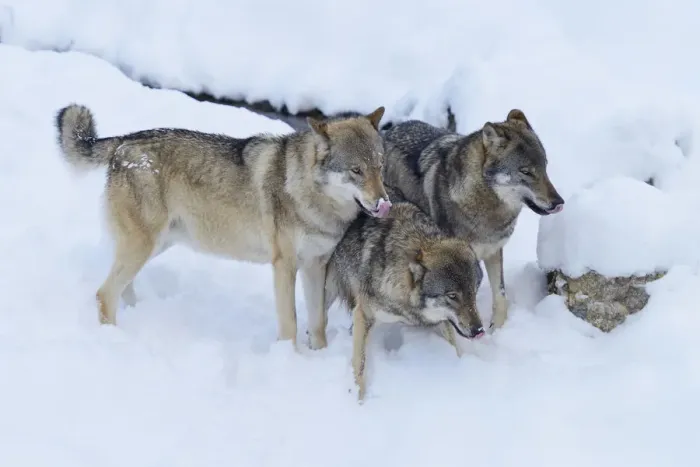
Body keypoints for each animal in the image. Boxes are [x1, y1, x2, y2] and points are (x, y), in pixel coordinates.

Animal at [54, 103, 392, 350]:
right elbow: (291, 323)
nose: (384, 203)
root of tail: (124, 141)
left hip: (155, 245)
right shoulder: (284, 265)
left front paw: (318, 356)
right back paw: (115, 339)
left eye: (380, 166)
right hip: (144, 245)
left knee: (122, 287)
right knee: (104, 294)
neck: (310, 195)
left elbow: (318, 321)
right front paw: (291, 359)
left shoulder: (316, 265)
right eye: (356, 171)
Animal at [325, 200, 485, 401]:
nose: (479, 330)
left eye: (474, 291)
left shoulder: (441, 320)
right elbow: (359, 363)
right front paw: (358, 399)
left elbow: (454, 346)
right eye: (453, 296)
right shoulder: (364, 314)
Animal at [381, 109, 564, 331]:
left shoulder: (494, 251)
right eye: (526, 171)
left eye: (545, 167)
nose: (559, 202)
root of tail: (388, 132)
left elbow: (500, 295)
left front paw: (498, 329)